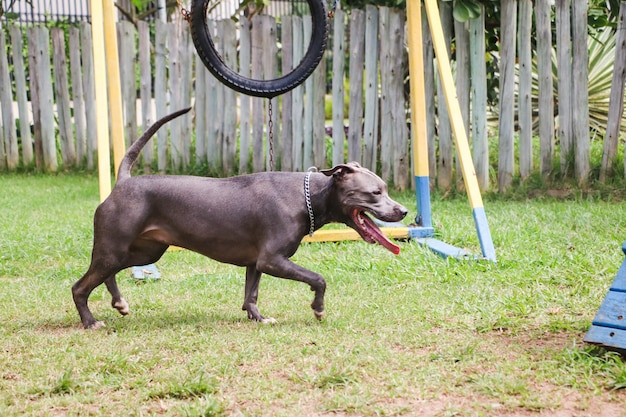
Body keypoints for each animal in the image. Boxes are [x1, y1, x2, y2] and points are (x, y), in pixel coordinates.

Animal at [70, 107, 408, 328]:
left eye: (385, 189)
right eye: (375, 193)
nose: (403, 211)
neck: (309, 196)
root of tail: (124, 182)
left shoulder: (255, 263)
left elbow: (251, 293)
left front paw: (257, 318)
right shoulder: (271, 260)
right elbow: (318, 279)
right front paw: (318, 310)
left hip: (144, 251)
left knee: (108, 274)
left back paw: (119, 303)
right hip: (115, 249)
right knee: (80, 287)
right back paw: (90, 322)